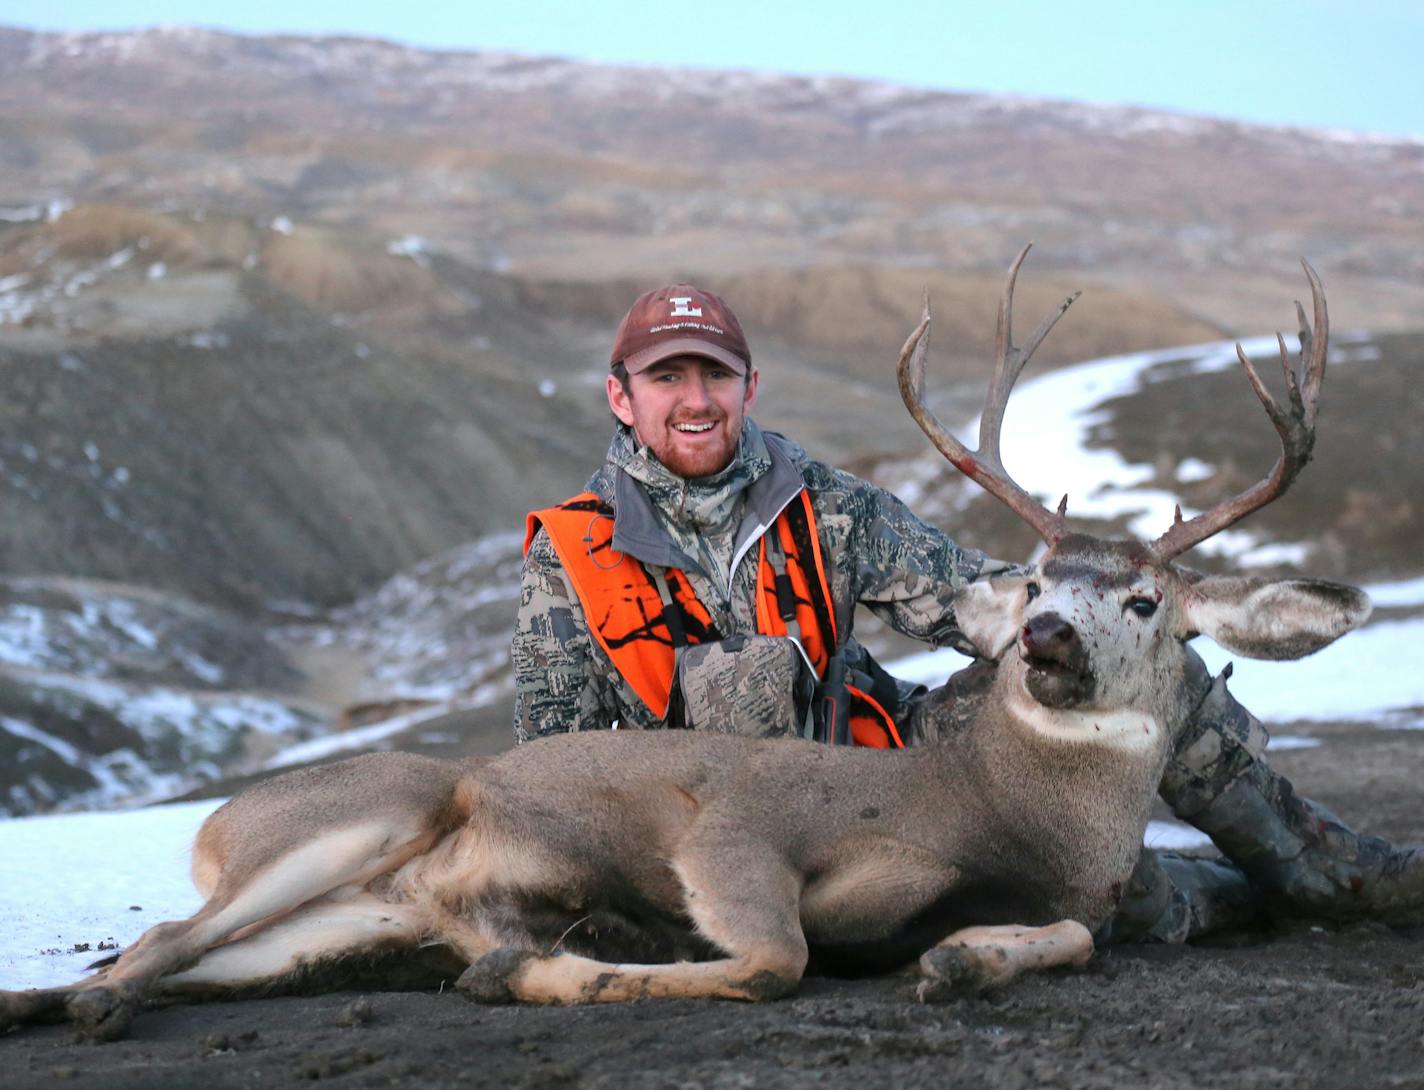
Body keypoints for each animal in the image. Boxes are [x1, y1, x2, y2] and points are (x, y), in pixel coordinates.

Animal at [0, 245, 1367, 1037]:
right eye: (1035, 574)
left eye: (1144, 603)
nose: (1040, 635)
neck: (997, 810)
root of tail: (216, 824)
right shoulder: (735, 827)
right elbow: (773, 955)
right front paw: (548, 967)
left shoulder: (1068, 899)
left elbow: (1069, 935)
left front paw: (959, 963)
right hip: (358, 817)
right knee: (157, 944)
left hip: (341, 924)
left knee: (175, 964)